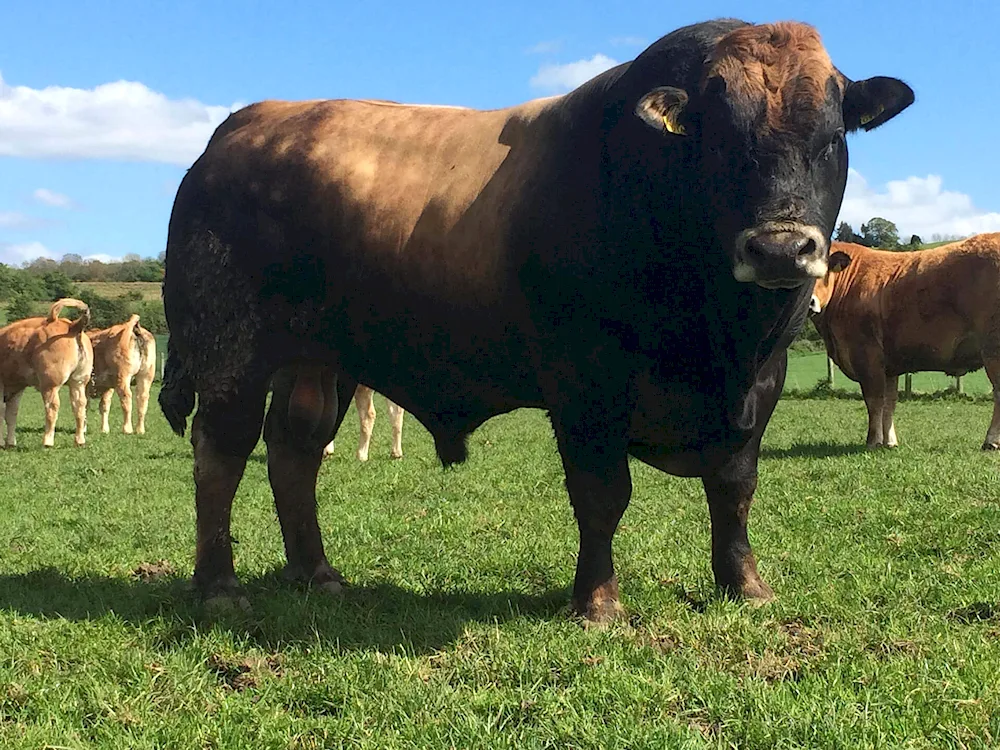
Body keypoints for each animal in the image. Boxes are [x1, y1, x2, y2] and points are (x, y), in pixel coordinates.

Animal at [0, 300, 94, 450]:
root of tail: (73, 326)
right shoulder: (17, 387)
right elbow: (11, 413)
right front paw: (10, 442)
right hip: (78, 381)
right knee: (80, 406)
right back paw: (79, 441)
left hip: (50, 383)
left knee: (52, 407)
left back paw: (47, 441)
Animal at [158, 19, 916, 624]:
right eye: (719, 142)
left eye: (831, 136)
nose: (781, 247)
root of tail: (238, 130)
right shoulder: (586, 385)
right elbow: (603, 495)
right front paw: (599, 603)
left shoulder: (763, 382)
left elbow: (733, 490)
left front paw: (745, 586)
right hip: (231, 353)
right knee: (222, 453)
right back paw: (220, 585)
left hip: (318, 361)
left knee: (295, 452)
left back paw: (317, 574)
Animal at [808, 234, 1000, 452]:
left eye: (822, 270)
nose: (810, 303)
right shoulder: (888, 366)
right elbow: (889, 403)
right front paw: (890, 442)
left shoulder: (866, 355)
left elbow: (874, 401)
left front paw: (873, 441)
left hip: (992, 347)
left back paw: (991, 441)